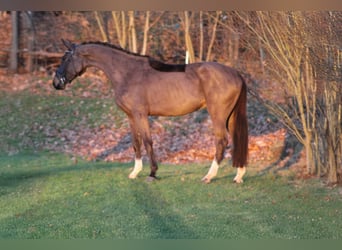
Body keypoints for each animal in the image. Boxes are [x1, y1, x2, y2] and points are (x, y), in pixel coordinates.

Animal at [52, 39, 247, 184]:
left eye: (65, 59)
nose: (56, 83)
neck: (127, 73)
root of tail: (235, 73)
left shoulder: (141, 115)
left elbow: (147, 141)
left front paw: (152, 173)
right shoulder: (131, 116)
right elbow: (135, 142)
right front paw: (135, 172)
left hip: (218, 115)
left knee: (221, 141)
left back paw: (209, 176)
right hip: (230, 116)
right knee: (236, 139)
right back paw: (239, 175)